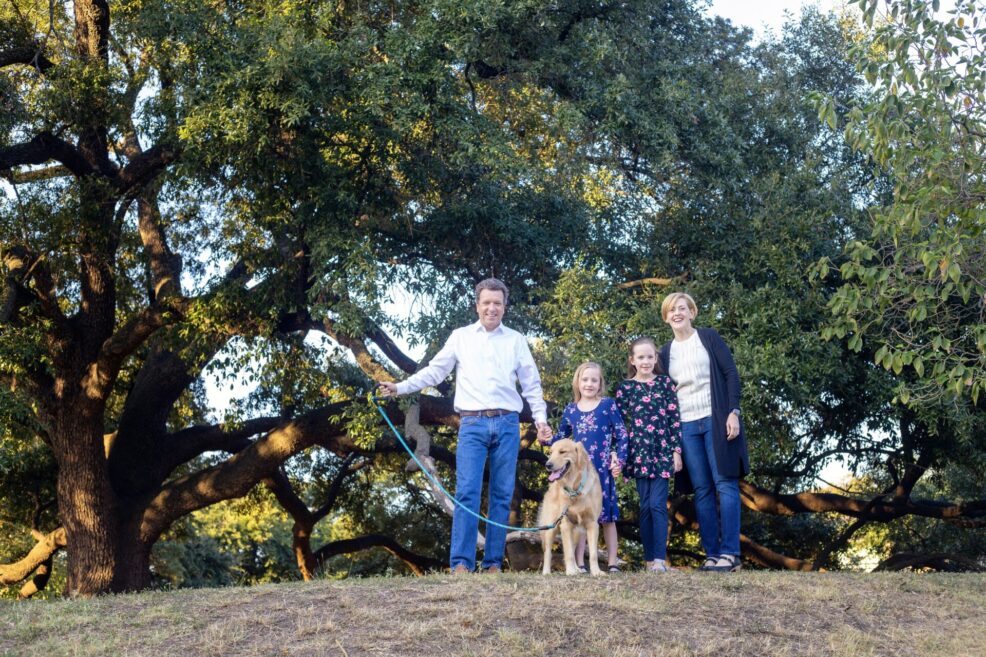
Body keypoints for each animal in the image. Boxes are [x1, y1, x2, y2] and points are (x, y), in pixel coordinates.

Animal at [540, 440, 600, 576]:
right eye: (550, 452)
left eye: (562, 452)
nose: (548, 465)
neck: (575, 489)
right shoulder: (565, 524)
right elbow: (568, 553)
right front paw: (571, 571)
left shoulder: (592, 523)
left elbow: (593, 554)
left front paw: (596, 572)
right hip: (551, 527)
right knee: (548, 552)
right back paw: (546, 572)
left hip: (577, 532)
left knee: (573, 548)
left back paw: (577, 569)